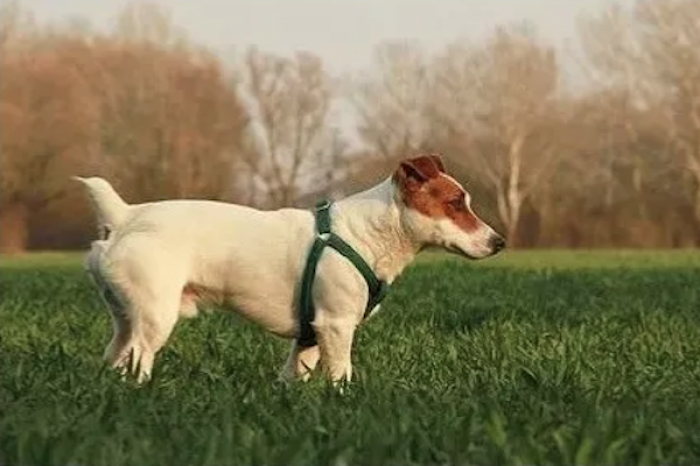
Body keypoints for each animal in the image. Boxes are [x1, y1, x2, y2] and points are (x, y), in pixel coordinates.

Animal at [75, 155, 504, 384]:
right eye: (455, 204)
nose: (499, 242)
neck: (365, 233)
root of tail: (127, 216)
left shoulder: (309, 336)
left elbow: (293, 375)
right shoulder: (336, 325)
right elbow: (341, 374)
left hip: (125, 318)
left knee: (114, 356)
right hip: (155, 318)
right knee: (138, 360)